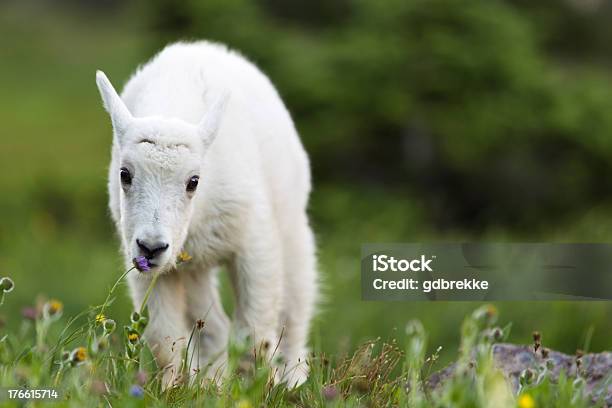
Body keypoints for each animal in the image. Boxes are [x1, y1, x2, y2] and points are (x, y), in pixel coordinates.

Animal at [96, 41, 318, 388]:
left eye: (193, 181)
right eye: (124, 174)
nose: (152, 247)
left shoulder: (254, 244)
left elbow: (255, 335)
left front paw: (257, 389)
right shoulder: (146, 262)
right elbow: (164, 340)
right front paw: (168, 390)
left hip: (292, 223)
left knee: (294, 312)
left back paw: (293, 382)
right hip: (194, 266)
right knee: (213, 328)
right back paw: (210, 384)